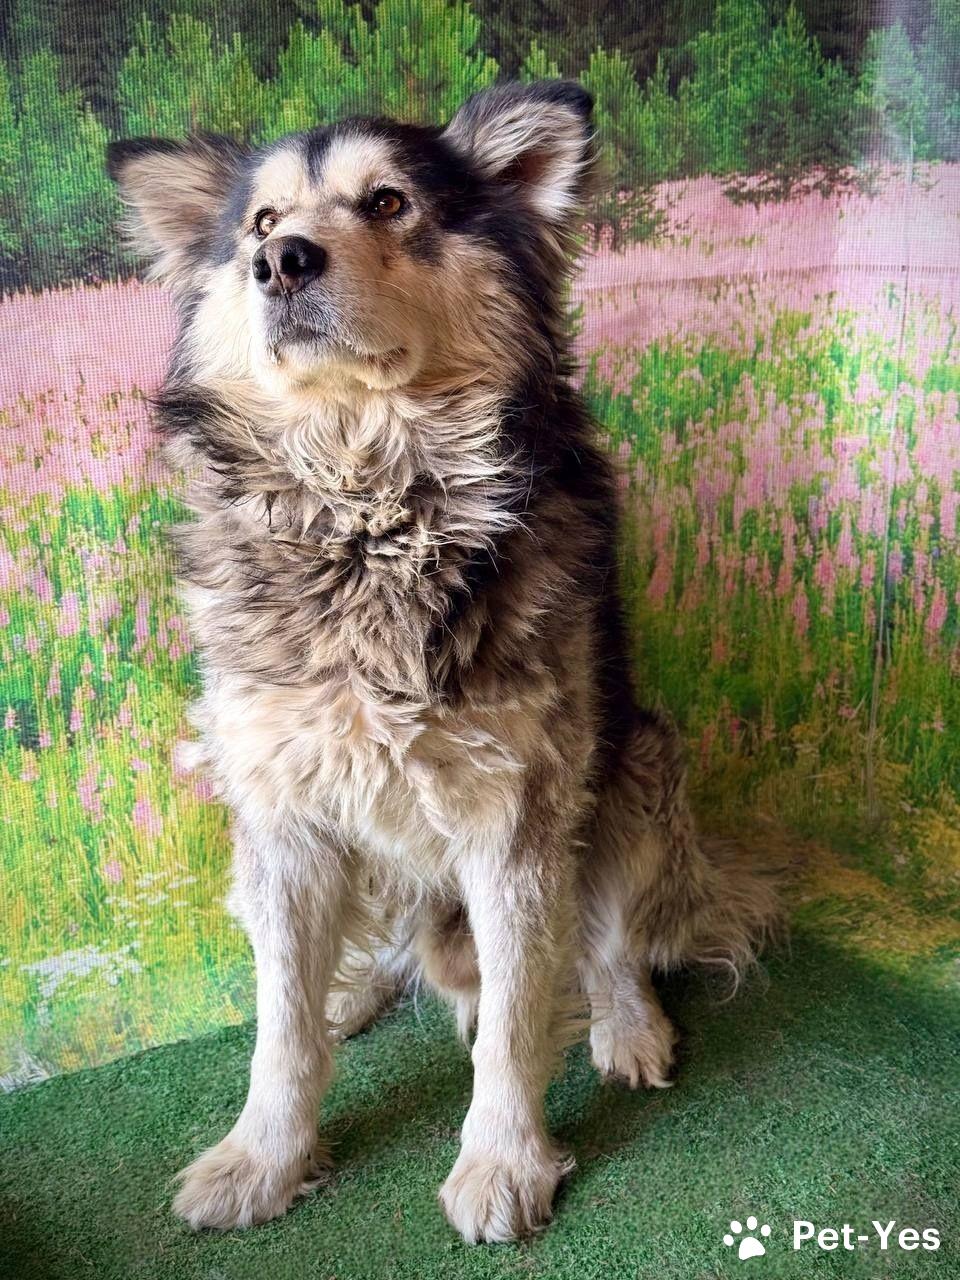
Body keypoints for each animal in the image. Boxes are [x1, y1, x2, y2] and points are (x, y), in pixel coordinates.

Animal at [107, 81, 778, 1244]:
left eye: (388, 201)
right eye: (259, 222)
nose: (280, 263)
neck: (367, 505)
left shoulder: (519, 815)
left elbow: (513, 1020)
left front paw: (503, 1162)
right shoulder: (279, 809)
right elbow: (279, 1027)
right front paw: (262, 1156)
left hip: (640, 765)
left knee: (609, 945)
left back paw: (627, 1025)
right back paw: (355, 988)